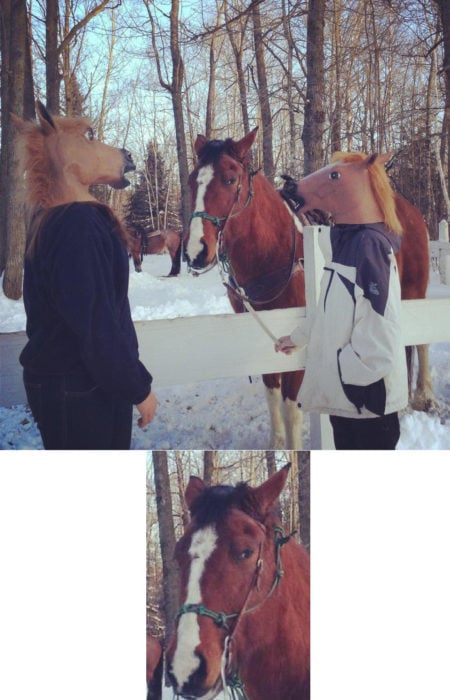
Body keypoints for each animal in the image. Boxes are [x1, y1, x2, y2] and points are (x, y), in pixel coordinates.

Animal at [183, 129, 306, 448]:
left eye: (229, 178)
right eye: (191, 180)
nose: (196, 251)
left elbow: (290, 409)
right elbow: (273, 395)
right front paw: (277, 446)